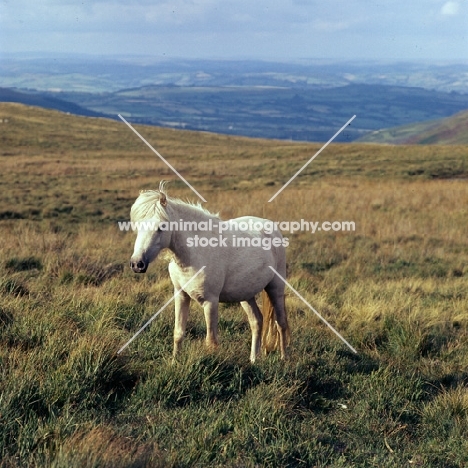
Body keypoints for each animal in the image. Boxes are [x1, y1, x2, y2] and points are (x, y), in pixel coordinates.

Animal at [128, 182, 288, 362]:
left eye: (161, 227)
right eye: (137, 226)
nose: (137, 264)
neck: (195, 253)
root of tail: (271, 227)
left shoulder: (210, 302)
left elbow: (211, 341)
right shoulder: (181, 295)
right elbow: (178, 333)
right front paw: (174, 362)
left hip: (275, 287)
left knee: (281, 323)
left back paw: (284, 359)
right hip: (246, 295)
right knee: (257, 321)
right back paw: (254, 359)